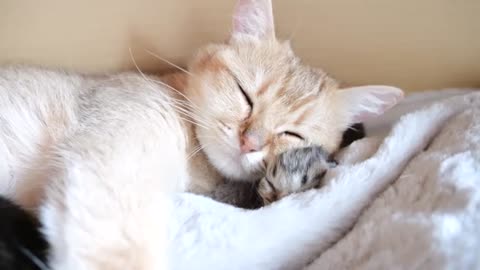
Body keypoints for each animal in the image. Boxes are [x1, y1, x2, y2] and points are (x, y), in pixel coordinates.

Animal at [0, 0, 408, 270]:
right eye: (245, 94)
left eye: (292, 132)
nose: (249, 142)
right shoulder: (110, 167)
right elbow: (117, 251)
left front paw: (298, 173)